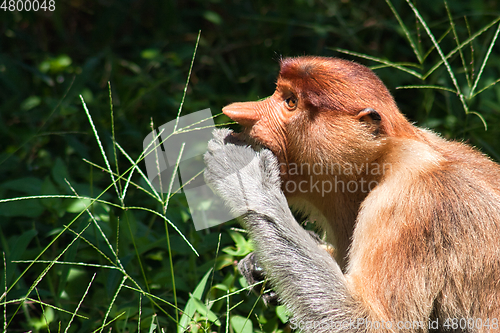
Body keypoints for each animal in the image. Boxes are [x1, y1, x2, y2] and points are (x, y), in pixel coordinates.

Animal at [203, 55, 500, 330]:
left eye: (290, 102)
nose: (236, 111)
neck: (379, 162)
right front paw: (257, 266)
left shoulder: (408, 203)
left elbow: (372, 322)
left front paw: (242, 173)